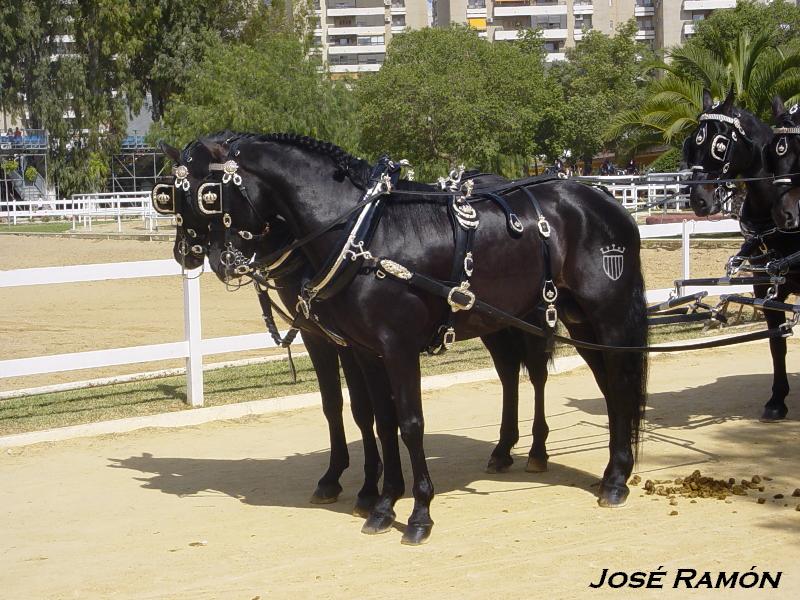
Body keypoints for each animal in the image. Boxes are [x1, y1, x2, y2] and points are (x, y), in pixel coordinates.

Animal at [197, 135, 648, 544]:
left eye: (206, 194)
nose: (217, 260)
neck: (365, 234)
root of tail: (603, 200)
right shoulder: (363, 350)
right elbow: (379, 420)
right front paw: (382, 503)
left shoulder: (397, 349)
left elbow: (410, 424)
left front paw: (418, 513)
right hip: (571, 320)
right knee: (598, 386)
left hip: (606, 315)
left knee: (616, 382)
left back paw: (613, 478)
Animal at [684, 89, 796, 420]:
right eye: (693, 142)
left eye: (720, 144)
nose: (699, 200)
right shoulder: (764, 284)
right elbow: (776, 342)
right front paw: (777, 399)